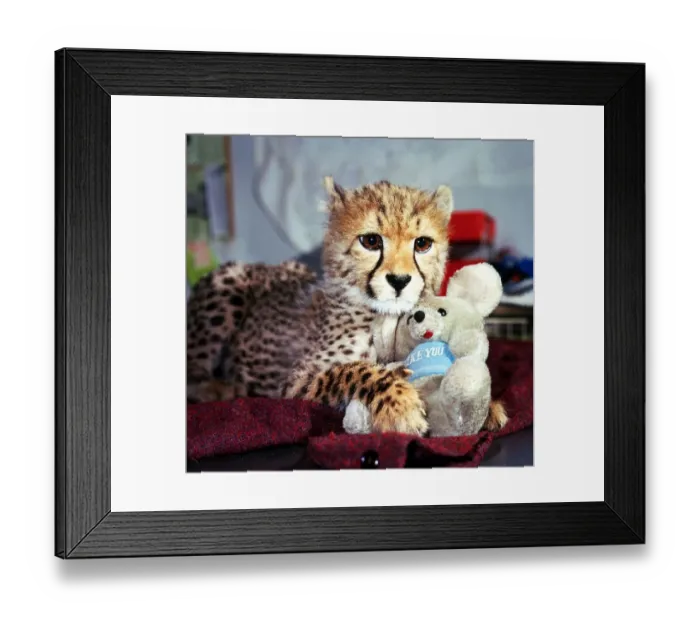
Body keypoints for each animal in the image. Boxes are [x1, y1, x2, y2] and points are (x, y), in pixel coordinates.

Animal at [187, 176, 459, 435]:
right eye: (371, 241)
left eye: (422, 244)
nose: (400, 280)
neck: (386, 316)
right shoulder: (292, 385)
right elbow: (351, 371)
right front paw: (400, 406)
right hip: (230, 281)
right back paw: (218, 389)